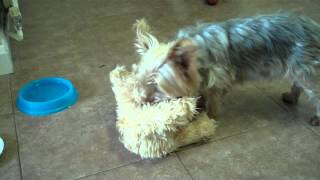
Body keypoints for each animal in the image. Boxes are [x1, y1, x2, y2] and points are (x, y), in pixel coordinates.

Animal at [131, 12, 320, 125]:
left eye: (158, 87)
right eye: (140, 82)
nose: (143, 102)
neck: (198, 54)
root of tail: (315, 27)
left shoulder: (218, 78)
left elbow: (213, 99)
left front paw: (209, 115)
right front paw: (198, 103)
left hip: (306, 68)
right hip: (298, 68)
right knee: (298, 83)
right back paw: (291, 97)